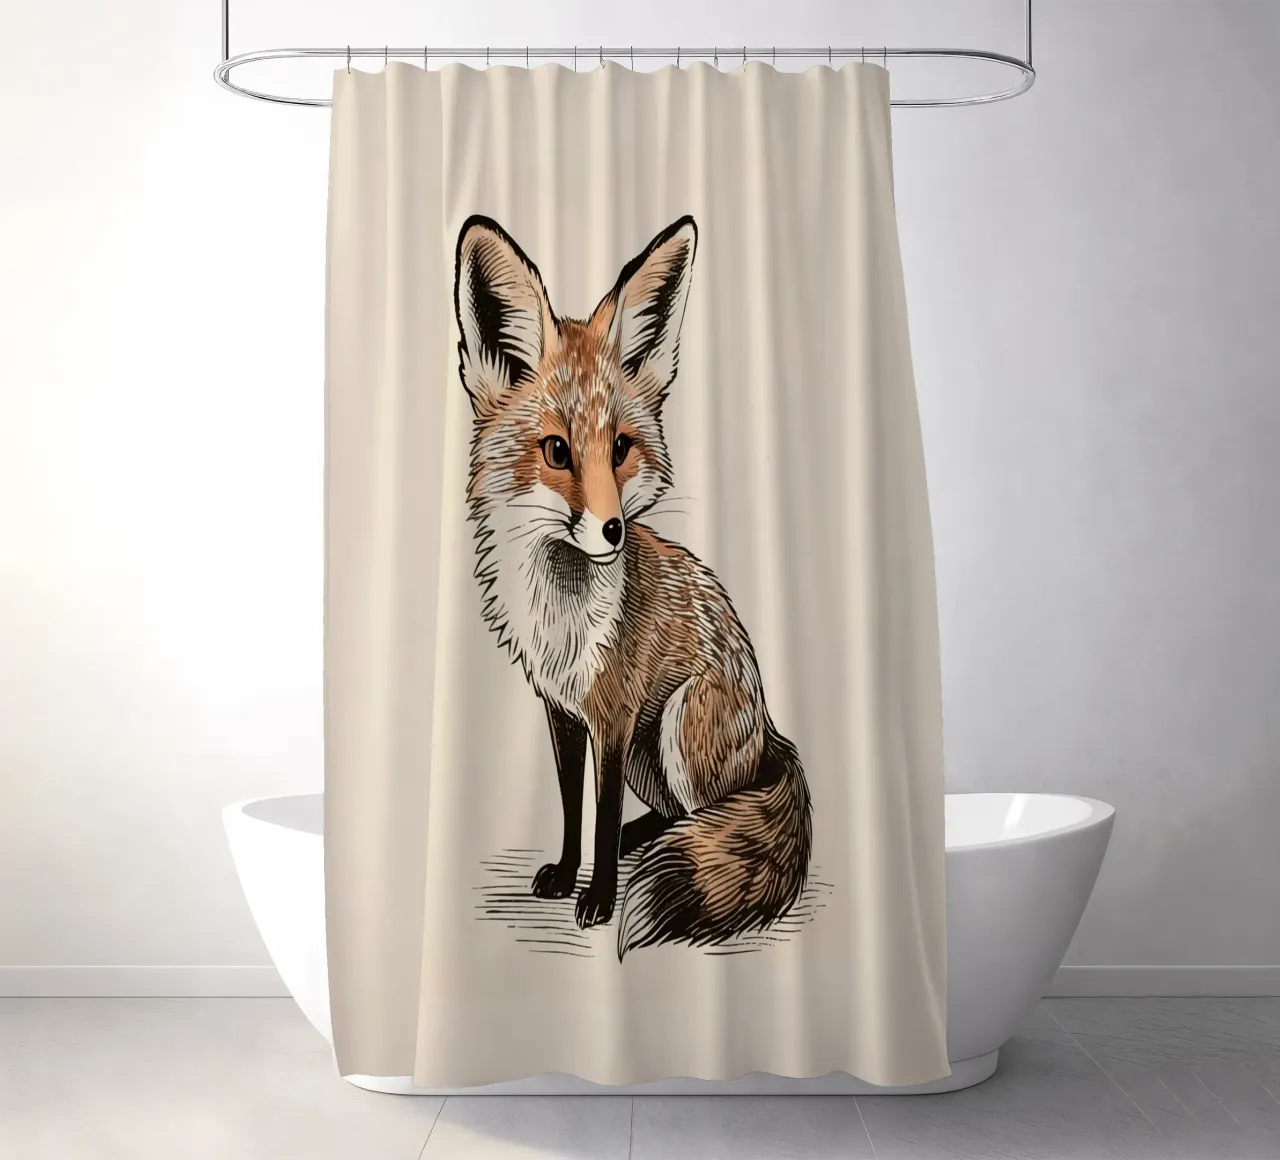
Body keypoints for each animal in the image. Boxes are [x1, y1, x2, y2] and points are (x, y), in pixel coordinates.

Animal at [453, 213, 812, 959]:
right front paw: (568, 874)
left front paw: (598, 897)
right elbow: (572, 806)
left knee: (712, 812)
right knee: (679, 812)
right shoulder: (561, 710)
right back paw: (636, 842)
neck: (560, 615)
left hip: (675, 724)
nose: (614, 530)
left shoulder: (614, 712)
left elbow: (601, 805)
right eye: (557, 451)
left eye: (620, 448)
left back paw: (647, 846)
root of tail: (773, 735)